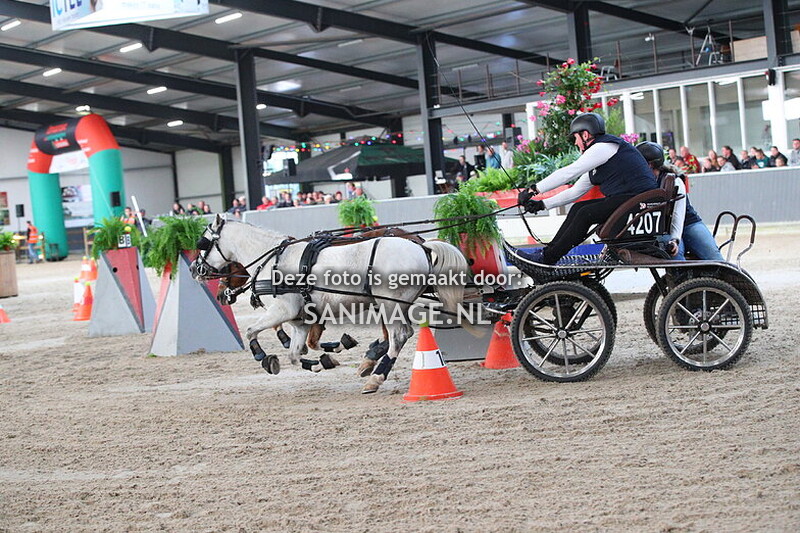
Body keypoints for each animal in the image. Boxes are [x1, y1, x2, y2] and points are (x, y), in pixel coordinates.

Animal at [191, 214, 471, 394]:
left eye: (202, 243)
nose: (195, 269)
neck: (273, 260)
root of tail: (422, 247)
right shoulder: (300, 319)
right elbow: (295, 354)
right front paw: (323, 362)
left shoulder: (282, 310)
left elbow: (251, 332)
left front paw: (263, 357)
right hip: (393, 304)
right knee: (396, 336)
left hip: (388, 303)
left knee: (399, 336)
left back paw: (376, 378)